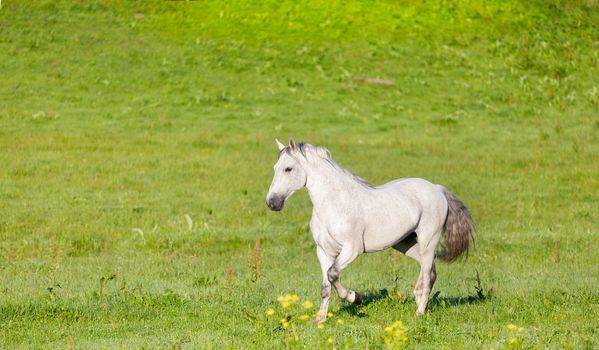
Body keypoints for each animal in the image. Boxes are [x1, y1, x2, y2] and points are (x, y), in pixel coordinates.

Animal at [266, 139, 474, 322]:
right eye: (275, 168)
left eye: (288, 169)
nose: (272, 203)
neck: (334, 204)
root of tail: (437, 189)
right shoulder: (324, 251)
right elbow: (325, 286)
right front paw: (319, 319)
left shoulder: (352, 249)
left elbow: (333, 275)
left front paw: (355, 298)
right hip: (405, 244)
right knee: (429, 273)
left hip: (428, 242)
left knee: (426, 276)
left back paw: (418, 315)